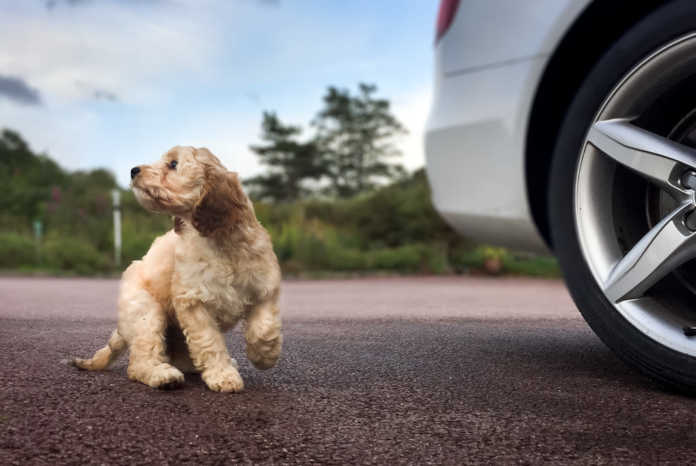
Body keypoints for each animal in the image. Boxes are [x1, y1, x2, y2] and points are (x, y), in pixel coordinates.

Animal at [73, 146, 282, 394]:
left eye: (173, 164)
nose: (134, 170)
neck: (221, 241)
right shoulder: (194, 301)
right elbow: (209, 341)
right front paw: (223, 376)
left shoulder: (264, 288)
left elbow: (265, 328)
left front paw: (264, 356)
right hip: (146, 312)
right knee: (140, 361)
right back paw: (163, 376)